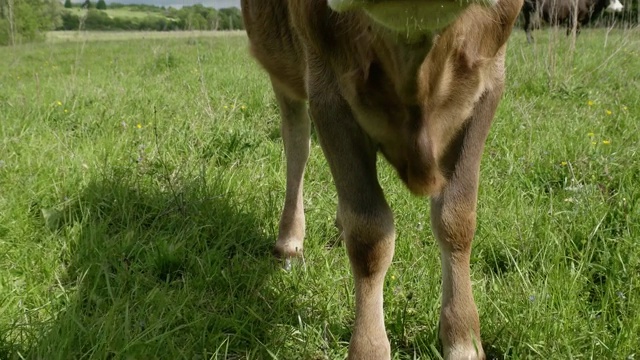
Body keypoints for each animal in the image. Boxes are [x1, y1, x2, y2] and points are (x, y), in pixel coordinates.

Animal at [241, 1, 524, 358]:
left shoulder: (489, 83)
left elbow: (456, 219)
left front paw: (463, 338)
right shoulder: (326, 88)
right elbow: (369, 236)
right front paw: (369, 346)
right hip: (283, 73)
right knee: (297, 144)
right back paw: (290, 241)